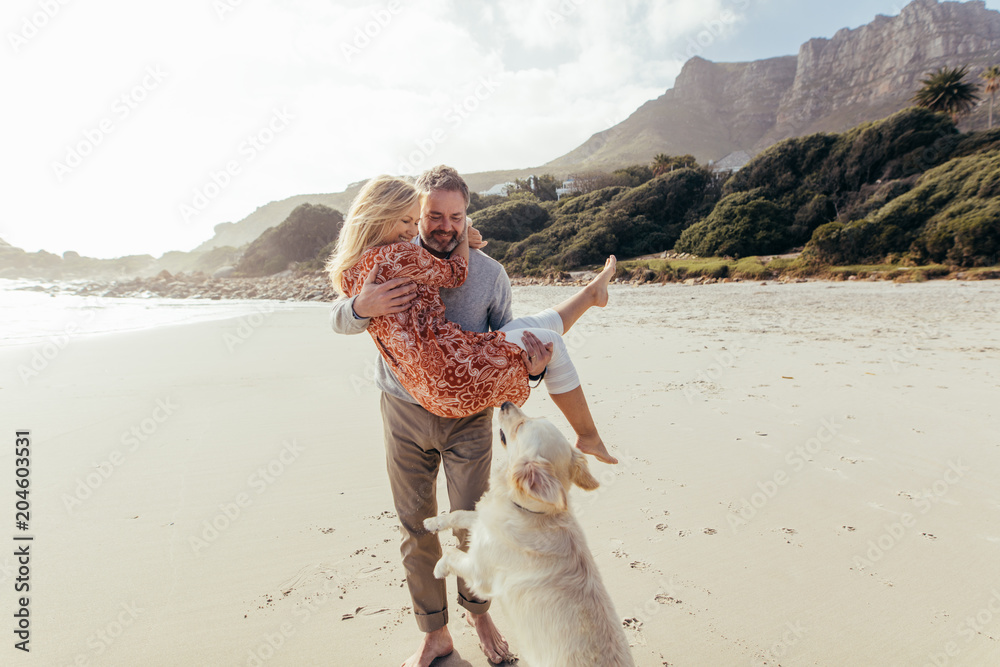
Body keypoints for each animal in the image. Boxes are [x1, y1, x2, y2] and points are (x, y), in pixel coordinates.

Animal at [422, 402, 632, 667]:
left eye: (521, 425)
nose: (506, 403)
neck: (531, 511)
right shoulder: (484, 520)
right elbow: (459, 514)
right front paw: (432, 521)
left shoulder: (480, 572)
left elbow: (451, 553)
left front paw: (438, 568)